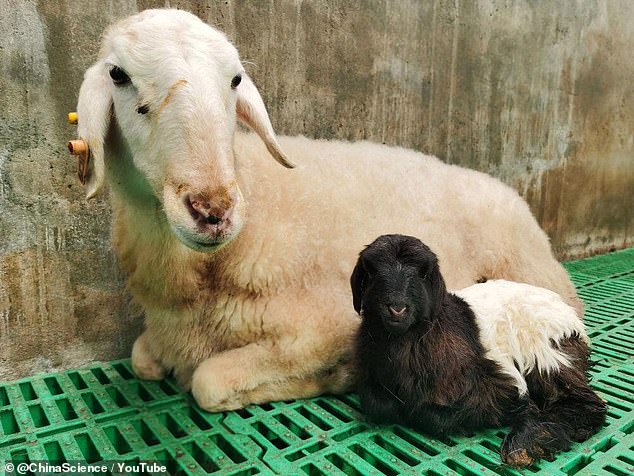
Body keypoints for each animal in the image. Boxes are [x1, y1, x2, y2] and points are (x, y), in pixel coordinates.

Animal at [73, 11, 576, 412]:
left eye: (235, 80)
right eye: (117, 74)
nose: (212, 209)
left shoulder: (324, 324)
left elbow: (207, 382)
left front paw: (333, 376)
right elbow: (142, 358)